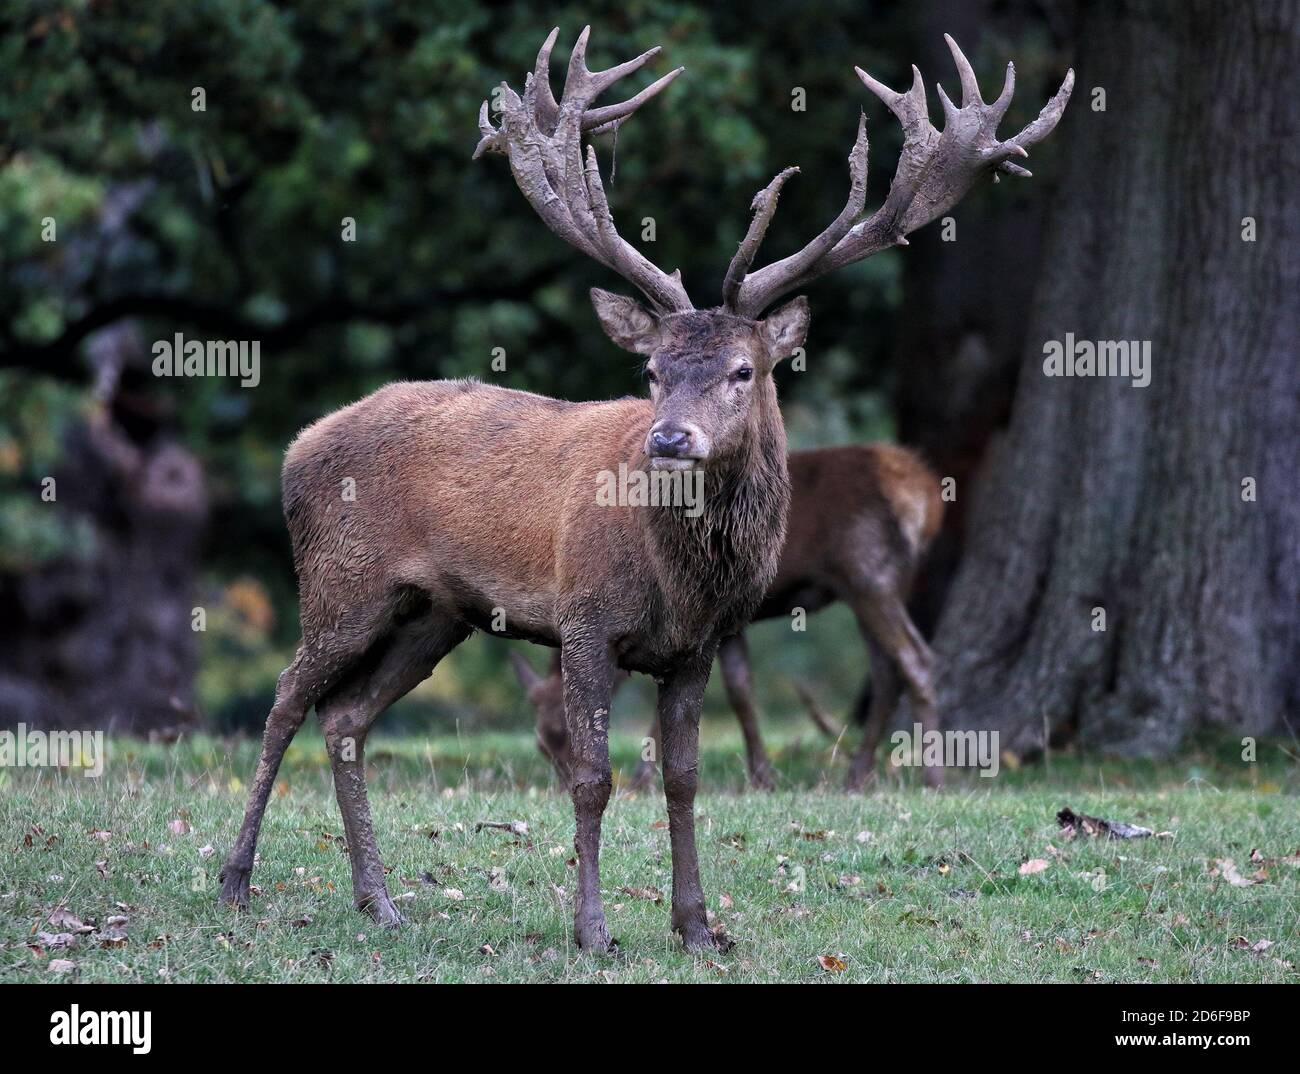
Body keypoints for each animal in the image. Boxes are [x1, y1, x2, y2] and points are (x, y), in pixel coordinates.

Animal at [514, 439, 946, 790]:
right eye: (539, 743)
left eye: (564, 734)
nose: (565, 788)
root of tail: (925, 498)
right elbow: (740, 688)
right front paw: (761, 775)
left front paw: (641, 779)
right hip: (878, 585)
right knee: (886, 670)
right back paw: (858, 775)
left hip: (870, 576)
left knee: (915, 659)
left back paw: (932, 776)